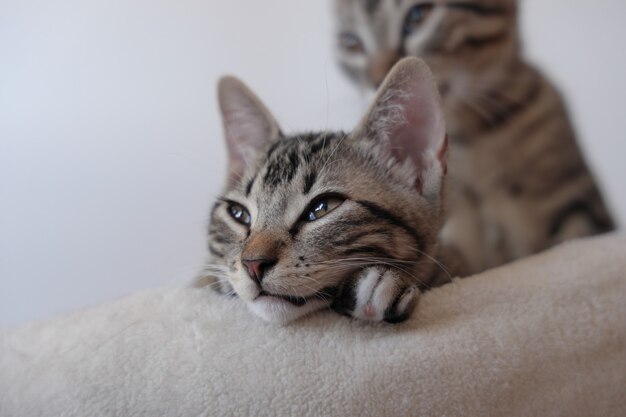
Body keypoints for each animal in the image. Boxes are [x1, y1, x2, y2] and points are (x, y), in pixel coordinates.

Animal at [334, 0, 612, 276]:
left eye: (418, 15)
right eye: (351, 42)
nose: (375, 80)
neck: (474, 133)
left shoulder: (572, 197)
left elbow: (575, 241)